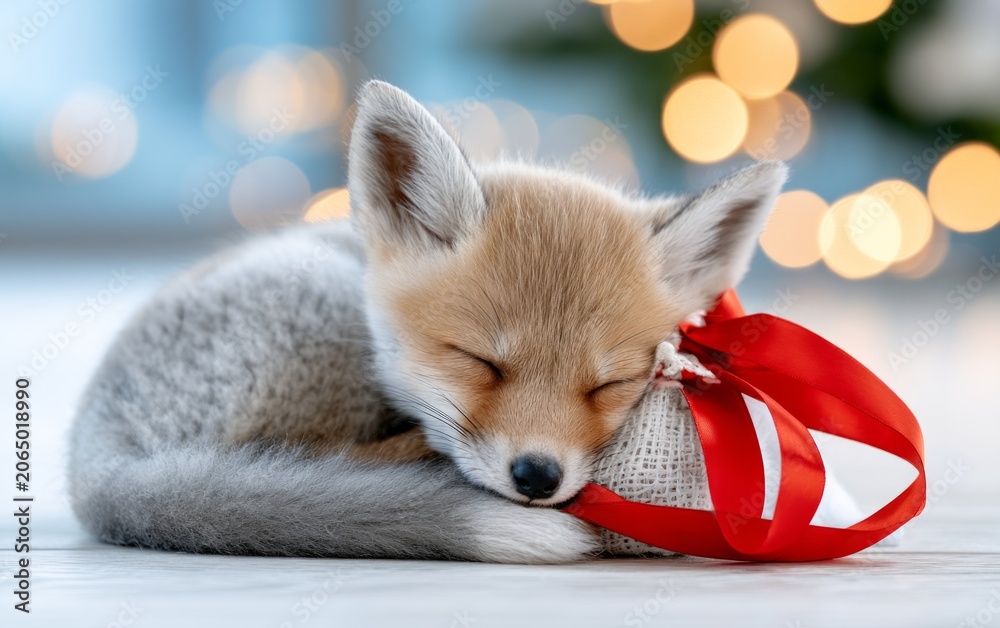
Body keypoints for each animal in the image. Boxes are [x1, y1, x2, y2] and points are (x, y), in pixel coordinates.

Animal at [68, 81, 787, 564]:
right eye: (480, 361)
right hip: (323, 315)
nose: (537, 478)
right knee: (304, 459)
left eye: (606, 386)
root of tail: (90, 458)